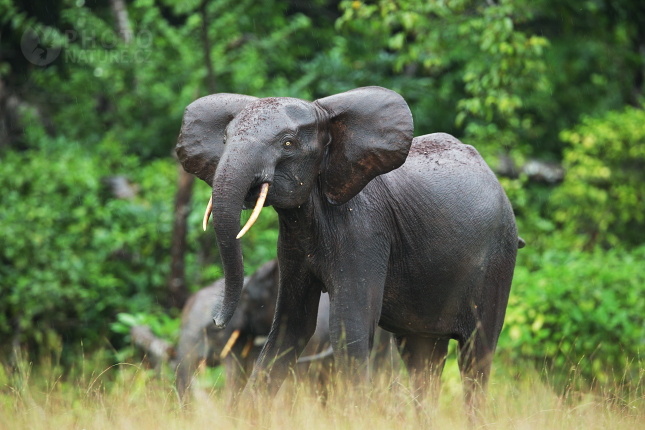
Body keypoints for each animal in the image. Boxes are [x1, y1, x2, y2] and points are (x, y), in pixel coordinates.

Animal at [176, 86, 524, 414]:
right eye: (224, 139)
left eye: (288, 144)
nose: (217, 322)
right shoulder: (293, 242)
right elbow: (291, 327)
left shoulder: (365, 231)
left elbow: (349, 328)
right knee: (422, 358)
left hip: (499, 256)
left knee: (476, 355)